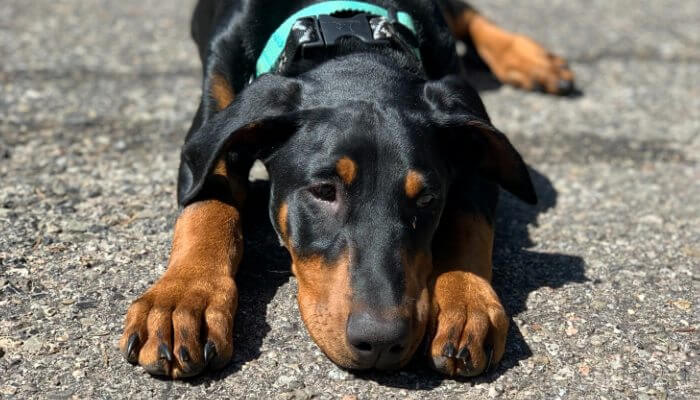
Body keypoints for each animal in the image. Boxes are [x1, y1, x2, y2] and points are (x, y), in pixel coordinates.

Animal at [119, 0, 576, 378]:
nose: (381, 343)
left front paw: (466, 301)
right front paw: (183, 300)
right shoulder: (211, 127)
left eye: (428, 199)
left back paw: (531, 60)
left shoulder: (470, 141)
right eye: (324, 191)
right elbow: (206, 206)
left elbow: (469, 222)